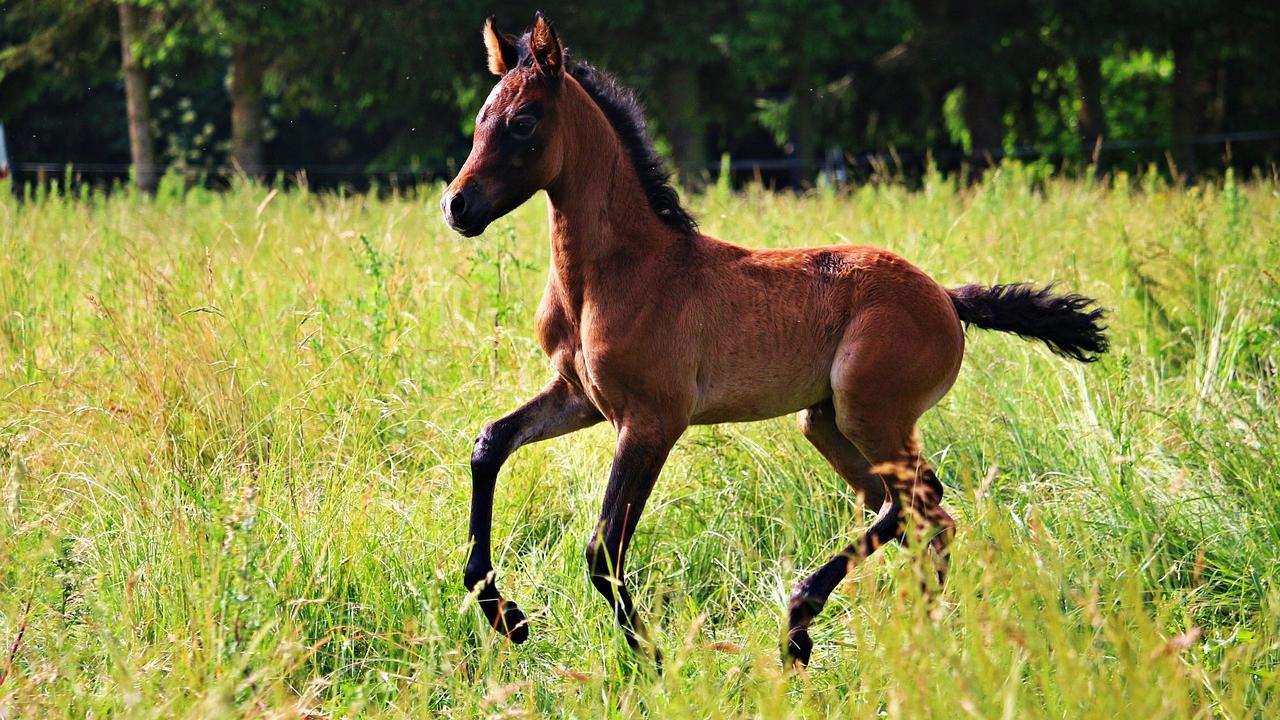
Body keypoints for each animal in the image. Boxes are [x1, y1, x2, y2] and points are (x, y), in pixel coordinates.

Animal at [442, 14, 1111, 666]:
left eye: (524, 122)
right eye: (479, 120)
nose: (457, 205)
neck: (619, 272)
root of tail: (946, 297)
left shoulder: (653, 420)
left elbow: (603, 546)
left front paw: (651, 660)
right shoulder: (579, 396)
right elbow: (490, 443)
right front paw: (506, 615)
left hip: (871, 414)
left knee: (920, 501)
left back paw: (801, 622)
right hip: (828, 424)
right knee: (924, 517)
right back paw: (912, 638)